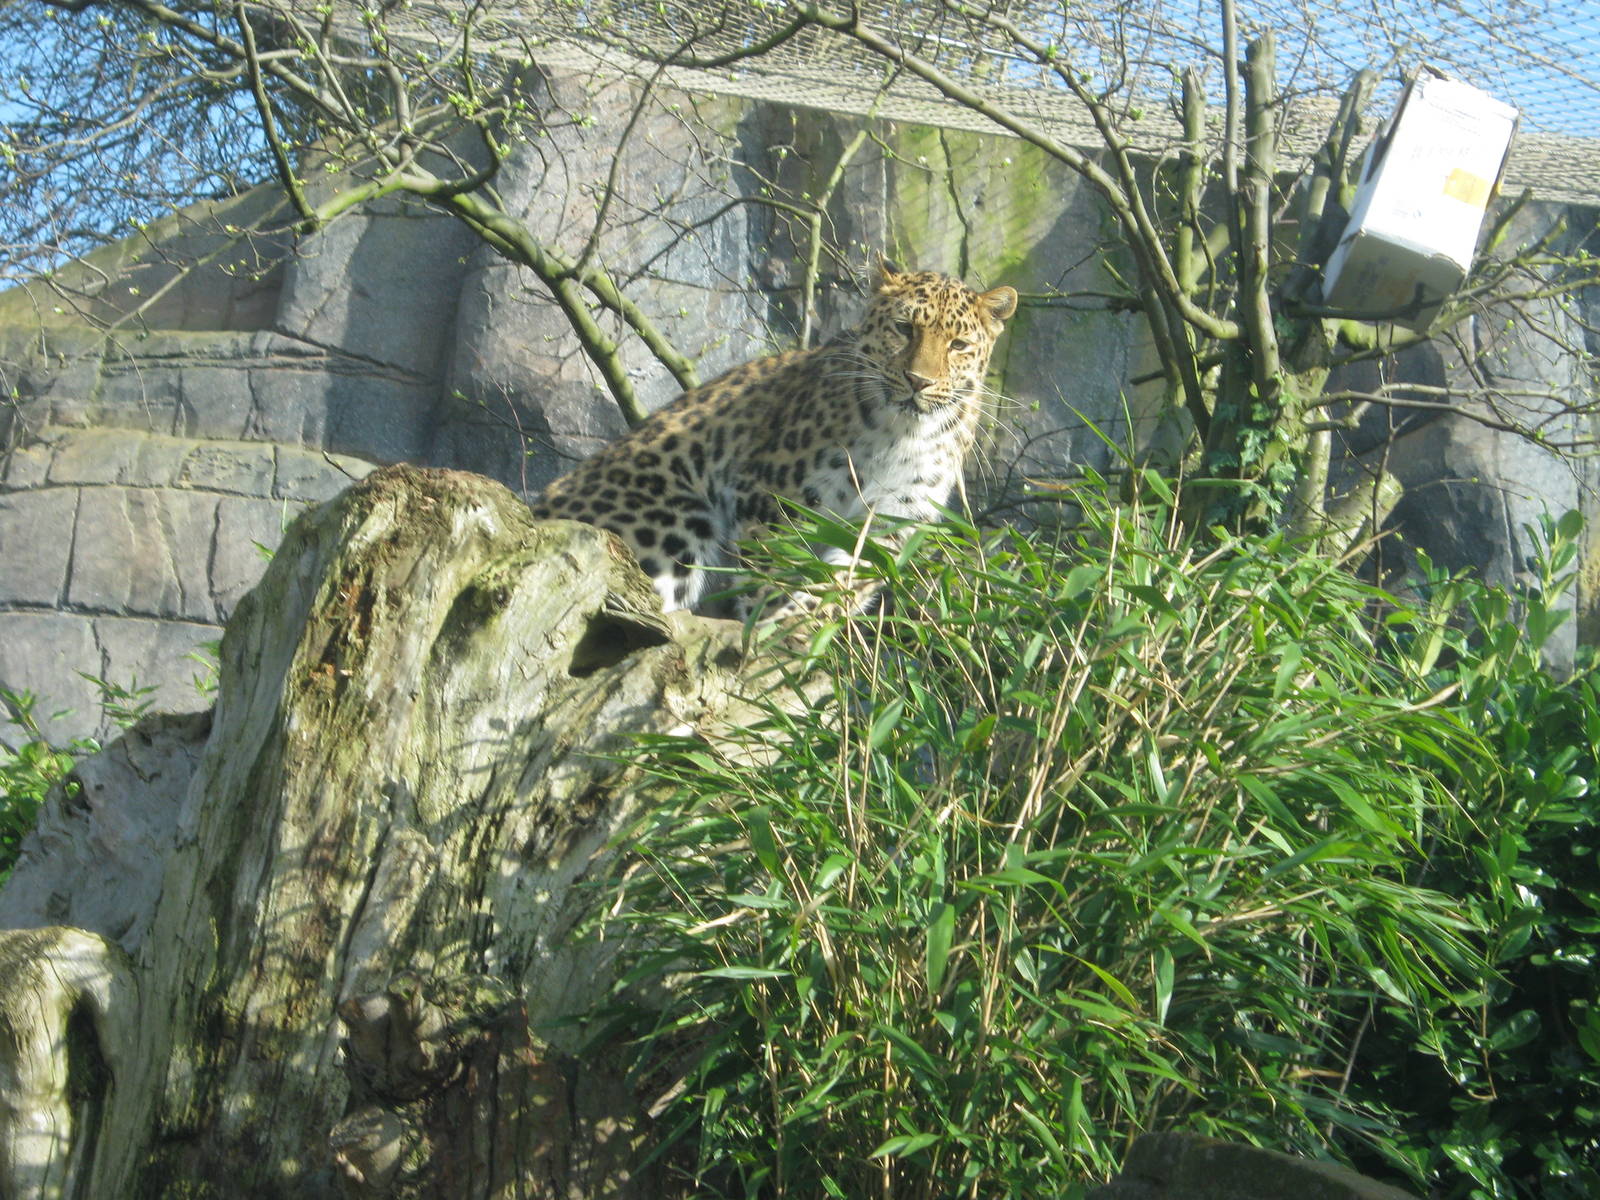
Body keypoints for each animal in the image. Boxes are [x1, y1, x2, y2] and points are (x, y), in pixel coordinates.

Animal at [529, 259, 1018, 615]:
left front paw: (804, 630)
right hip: (667, 521)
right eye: (904, 328)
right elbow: (773, 571)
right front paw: (764, 634)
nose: (919, 381)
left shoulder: (892, 518)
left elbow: (845, 581)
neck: (902, 433)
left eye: (958, 345)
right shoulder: (774, 499)